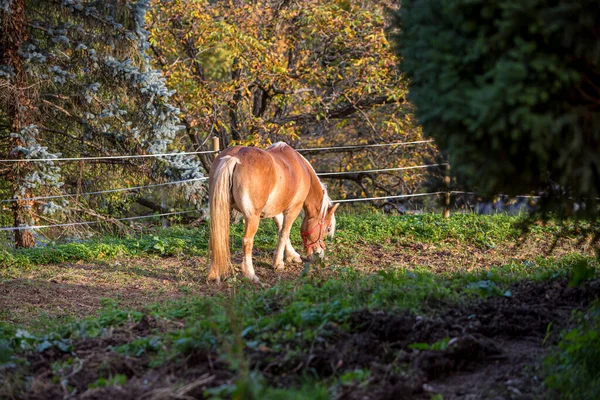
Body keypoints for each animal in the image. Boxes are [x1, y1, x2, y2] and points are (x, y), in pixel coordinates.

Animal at [206, 142, 338, 282]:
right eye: (328, 229)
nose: (320, 256)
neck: (302, 168)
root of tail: (234, 158)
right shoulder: (293, 209)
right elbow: (284, 232)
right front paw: (278, 263)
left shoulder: (276, 210)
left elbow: (280, 229)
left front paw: (291, 256)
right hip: (252, 218)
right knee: (247, 241)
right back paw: (250, 274)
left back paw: (214, 273)